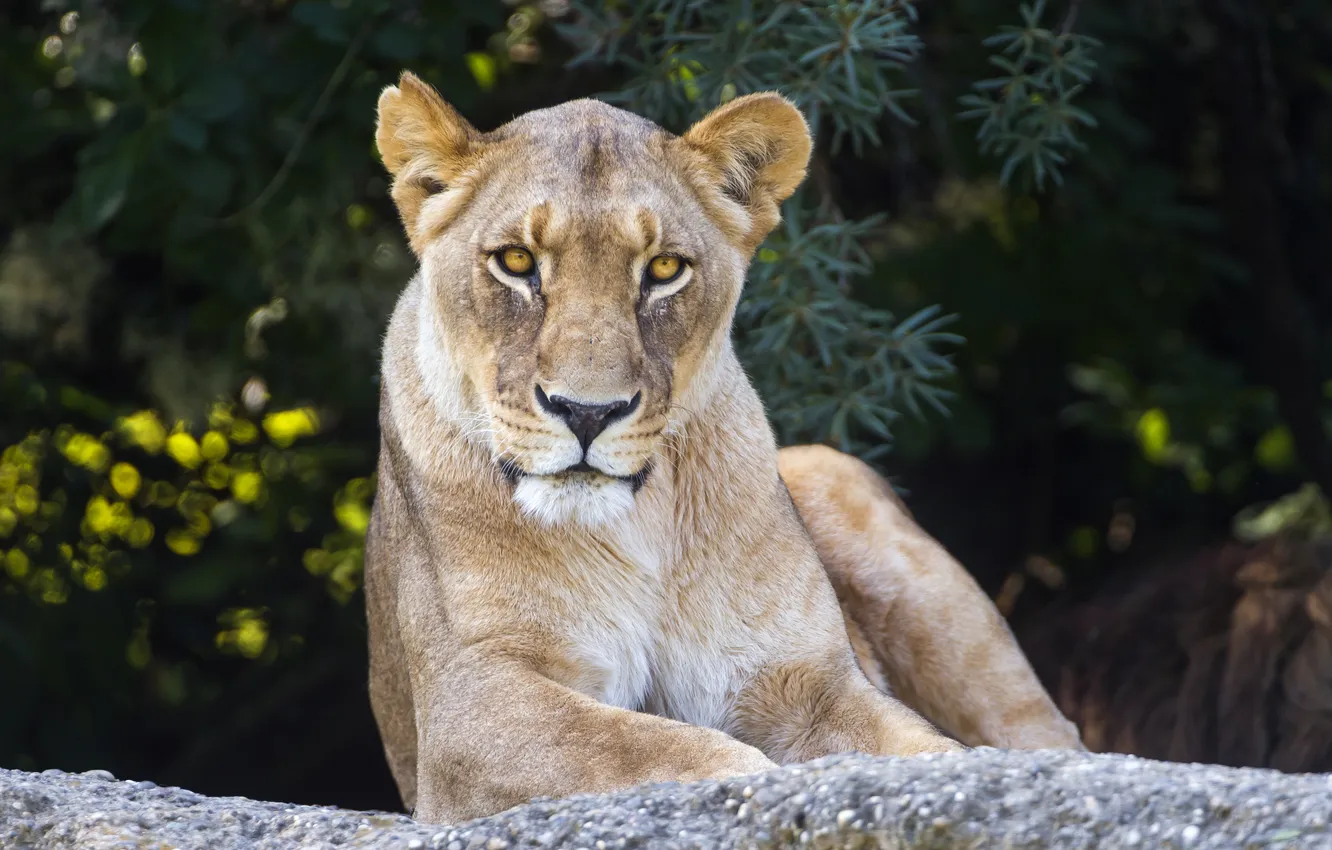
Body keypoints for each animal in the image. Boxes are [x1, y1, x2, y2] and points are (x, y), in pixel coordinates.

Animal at [365, 71, 1082, 824]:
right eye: (515, 261)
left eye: (664, 268)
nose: (588, 413)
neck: (636, 525)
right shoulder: (470, 705)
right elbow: (665, 748)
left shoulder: (810, 682)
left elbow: (929, 751)